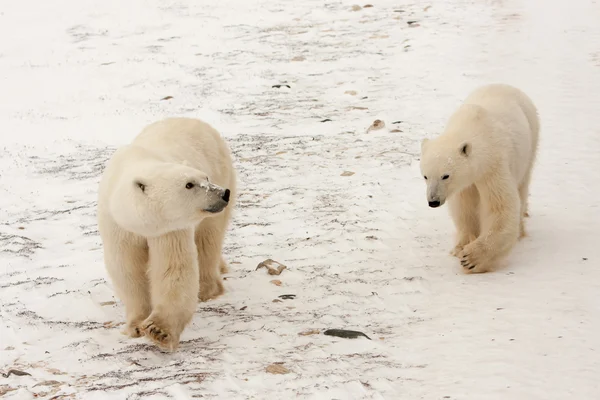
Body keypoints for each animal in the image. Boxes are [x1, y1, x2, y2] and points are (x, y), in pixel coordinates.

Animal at [97, 116, 236, 350]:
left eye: (205, 177)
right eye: (189, 184)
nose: (222, 193)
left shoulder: (170, 228)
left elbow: (174, 267)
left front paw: (158, 330)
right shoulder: (118, 226)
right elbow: (127, 269)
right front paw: (136, 325)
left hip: (222, 171)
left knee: (207, 240)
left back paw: (207, 288)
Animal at [420, 83, 540, 274]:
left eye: (445, 175)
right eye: (425, 175)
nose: (433, 201)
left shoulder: (493, 166)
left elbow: (499, 208)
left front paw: (471, 258)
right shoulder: (464, 185)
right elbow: (464, 209)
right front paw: (460, 246)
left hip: (531, 139)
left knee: (522, 186)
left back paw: (520, 231)